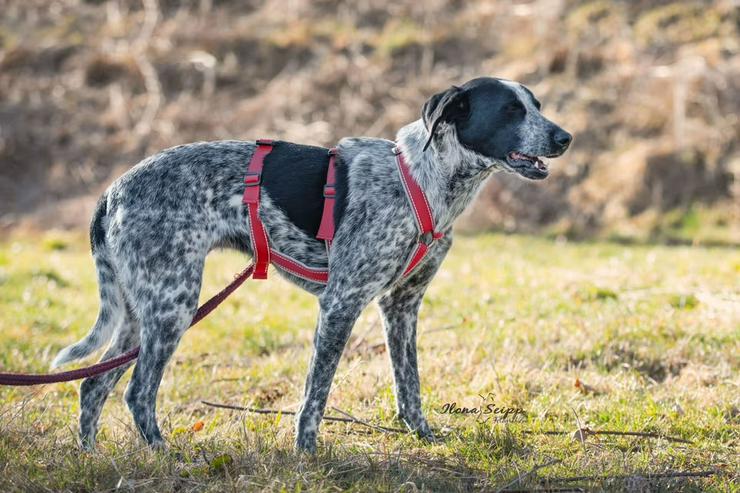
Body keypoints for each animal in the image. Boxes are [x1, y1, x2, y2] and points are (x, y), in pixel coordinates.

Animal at [52, 78, 572, 454]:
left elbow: (409, 386)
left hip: (141, 311)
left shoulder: (401, 308)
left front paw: (423, 437)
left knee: (93, 385)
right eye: (511, 111)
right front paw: (306, 452)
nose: (566, 137)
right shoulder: (340, 305)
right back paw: (164, 452)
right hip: (172, 307)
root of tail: (112, 191)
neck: (422, 182)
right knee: (137, 392)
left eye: (537, 104)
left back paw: (90, 455)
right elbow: (315, 394)